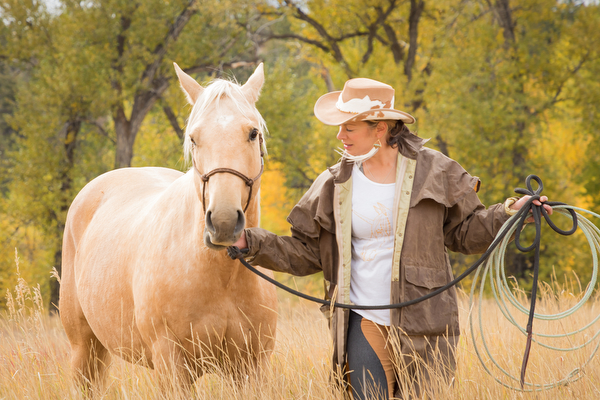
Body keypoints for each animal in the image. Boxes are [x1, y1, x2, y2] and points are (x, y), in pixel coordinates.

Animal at [57, 64, 278, 390]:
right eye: (194, 138)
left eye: (253, 133)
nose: (223, 221)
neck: (221, 277)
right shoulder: (171, 364)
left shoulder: (251, 367)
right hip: (83, 350)